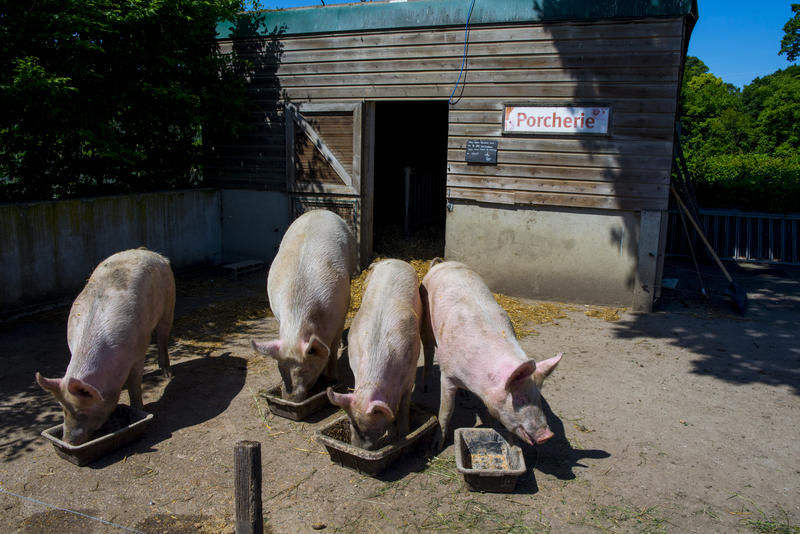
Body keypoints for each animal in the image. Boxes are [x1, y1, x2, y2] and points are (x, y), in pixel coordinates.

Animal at [35, 251, 175, 448]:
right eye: (62, 409)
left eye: (82, 412)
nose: (68, 441)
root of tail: (151, 253)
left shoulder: (139, 350)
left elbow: (135, 383)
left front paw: (138, 408)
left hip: (168, 303)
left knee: (163, 335)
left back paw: (167, 374)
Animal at [253, 211, 356, 404]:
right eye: (281, 369)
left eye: (306, 370)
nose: (290, 398)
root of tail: (318, 211)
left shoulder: (340, 311)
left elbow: (332, 349)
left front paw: (332, 379)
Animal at [326, 262, 422, 450]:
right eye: (351, 423)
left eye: (372, 426)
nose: (358, 448)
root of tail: (392, 260)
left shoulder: (410, 371)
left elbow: (404, 404)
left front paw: (403, 433)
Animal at [418, 262, 564, 450]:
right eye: (521, 398)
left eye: (539, 396)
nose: (547, 435)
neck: (480, 382)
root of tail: (443, 263)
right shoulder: (447, 376)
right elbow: (446, 411)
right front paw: (435, 447)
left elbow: (490, 413)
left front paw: (493, 428)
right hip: (426, 319)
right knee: (428, 348)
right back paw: (426, 386)